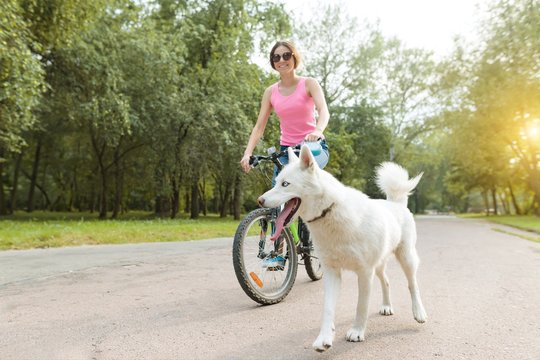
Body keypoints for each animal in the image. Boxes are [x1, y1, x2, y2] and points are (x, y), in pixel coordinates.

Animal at [258, 144, 426, 352]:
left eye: (285, 184)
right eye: (276, 182)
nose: (259, 200)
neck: (329, 211)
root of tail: (395, 202)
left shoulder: (365, 272)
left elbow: (361, 305)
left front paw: (357, 332)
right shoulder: (332, 272)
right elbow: (328, 308)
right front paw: (324, 338)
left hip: (406, 258)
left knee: (413, 284)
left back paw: (419, 312)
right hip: (379, 264)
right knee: (386, 281)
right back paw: (387, 307)